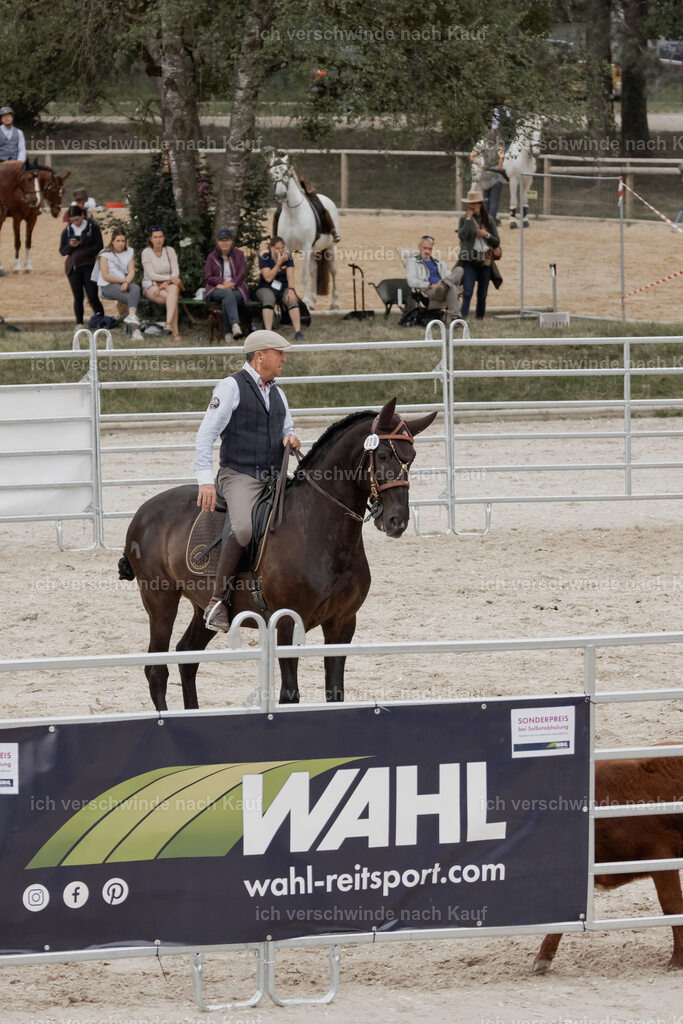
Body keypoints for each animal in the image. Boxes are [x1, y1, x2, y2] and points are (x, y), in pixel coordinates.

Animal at [118, 398, 436, 711]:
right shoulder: (286, 623)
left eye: (411, 458)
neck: (321, 532)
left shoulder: (343, 623)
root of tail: (144, 512)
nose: (397, 521)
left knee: (188, 657)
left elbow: (335, 693)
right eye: (382, 456)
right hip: (160, 600)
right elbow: (290, 695)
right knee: (156, 670)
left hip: (202, 607)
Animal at [266, 151, 340, 311]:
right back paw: (312, 301)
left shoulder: (305, 247)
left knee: (333, 271)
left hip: (330, 247)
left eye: (287, 173)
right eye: (271, 173)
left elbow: (303, 275)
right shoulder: (287, 248)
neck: (293, 213)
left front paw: (304, 301)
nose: (281, 195)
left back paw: (334, 303)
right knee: (314, 270)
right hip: (313, 250)